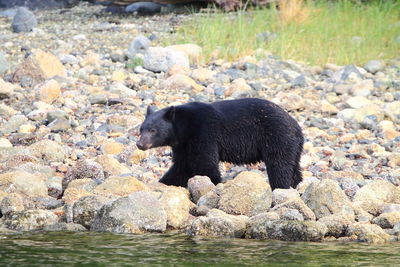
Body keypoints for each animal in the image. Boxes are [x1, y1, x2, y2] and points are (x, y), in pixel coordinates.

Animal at [137, 98, 304, 191]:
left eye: (152, 130)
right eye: (141, 129)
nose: (140, 144)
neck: (183, 126)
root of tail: (296, 125)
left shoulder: (203, 132)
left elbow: (205, 162)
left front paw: (214, 183)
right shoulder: (183, 144)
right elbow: (182, 166)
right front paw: (164, 183)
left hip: (276, 136)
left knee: (279, 165)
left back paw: (280, 186)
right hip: (293, 146)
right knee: (293, 167)